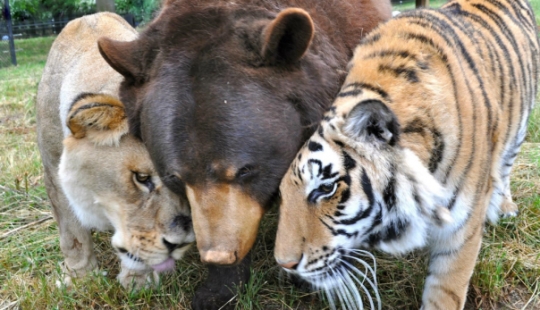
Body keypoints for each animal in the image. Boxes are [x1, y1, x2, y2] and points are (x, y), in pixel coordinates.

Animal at [34, 12, 194, 288]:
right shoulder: (53, 172)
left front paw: (139, 282)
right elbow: (72, 235)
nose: (180, 243)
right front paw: (80, 278)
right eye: (141, 178)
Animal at [274, 0, 540, 308]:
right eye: (282, 193)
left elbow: (445, 292)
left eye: (325, 188)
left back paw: (505, 206)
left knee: (506, 165)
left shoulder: (461, 230)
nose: (285, 264)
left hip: (519, 128)